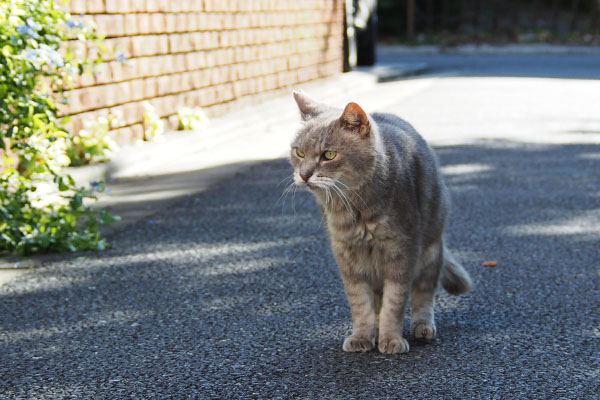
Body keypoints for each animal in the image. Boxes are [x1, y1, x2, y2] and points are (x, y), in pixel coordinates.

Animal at [290, 90, 474, 354]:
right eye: (299, 153)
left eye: (329, 155)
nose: (304, 174)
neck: (354, 209)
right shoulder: (348, 258)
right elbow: (361, 304)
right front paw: (362, 336)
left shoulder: (402, 251)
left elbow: (394, 303)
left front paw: (392, 339)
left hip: (430, 252)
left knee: (424, 293)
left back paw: (422, 327)